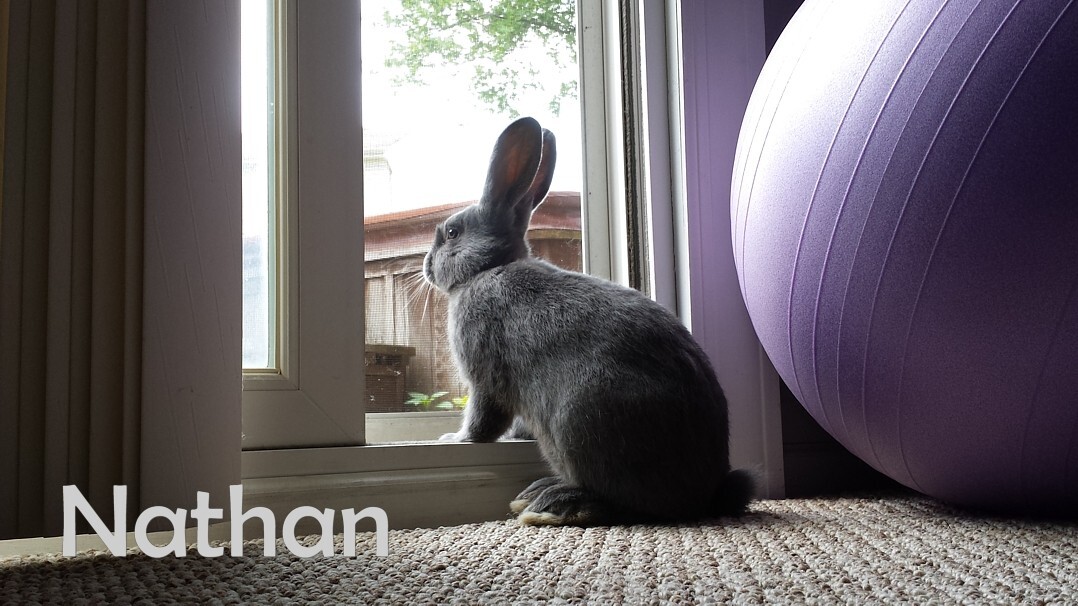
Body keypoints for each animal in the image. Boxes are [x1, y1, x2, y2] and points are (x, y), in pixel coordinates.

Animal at [424, 116, 754, 526]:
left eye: (452, 233)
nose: (426, 265)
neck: (487, 269)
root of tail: (706, 495)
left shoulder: (484, 377)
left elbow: (483, 420)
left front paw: (455, 439)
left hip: (577, 420)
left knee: (630, 504)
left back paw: (555, 501)